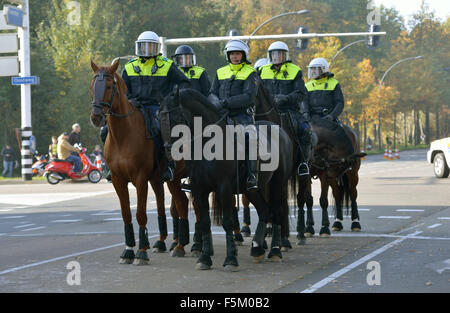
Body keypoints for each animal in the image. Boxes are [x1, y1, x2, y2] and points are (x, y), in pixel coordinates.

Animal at [89, 59, 197, 264]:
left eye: (109, 86)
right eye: (92, 86)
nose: (96, 117)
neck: (123, 136)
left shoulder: (140, 179)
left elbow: (140, 213)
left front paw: (141, 251)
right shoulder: (118, 180)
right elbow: (126, 214)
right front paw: (129, 250)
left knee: (187, 204)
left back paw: (191, 245)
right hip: (170, 180)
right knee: (179, 204)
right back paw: (176, 243)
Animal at [159, 88, 296, 270]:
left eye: (174, 116)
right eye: (158, 118)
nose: (169, 152)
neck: (207, 144)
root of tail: (280, 130)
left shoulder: (224, 188)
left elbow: (227, 222)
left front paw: (231, 259)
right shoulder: (199, 189)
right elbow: (204, 222)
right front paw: (204, 258)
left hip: (277, 184)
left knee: (276, 211)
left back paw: (274, 251)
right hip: (252, 189)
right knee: (264, 210)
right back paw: (257, 249)